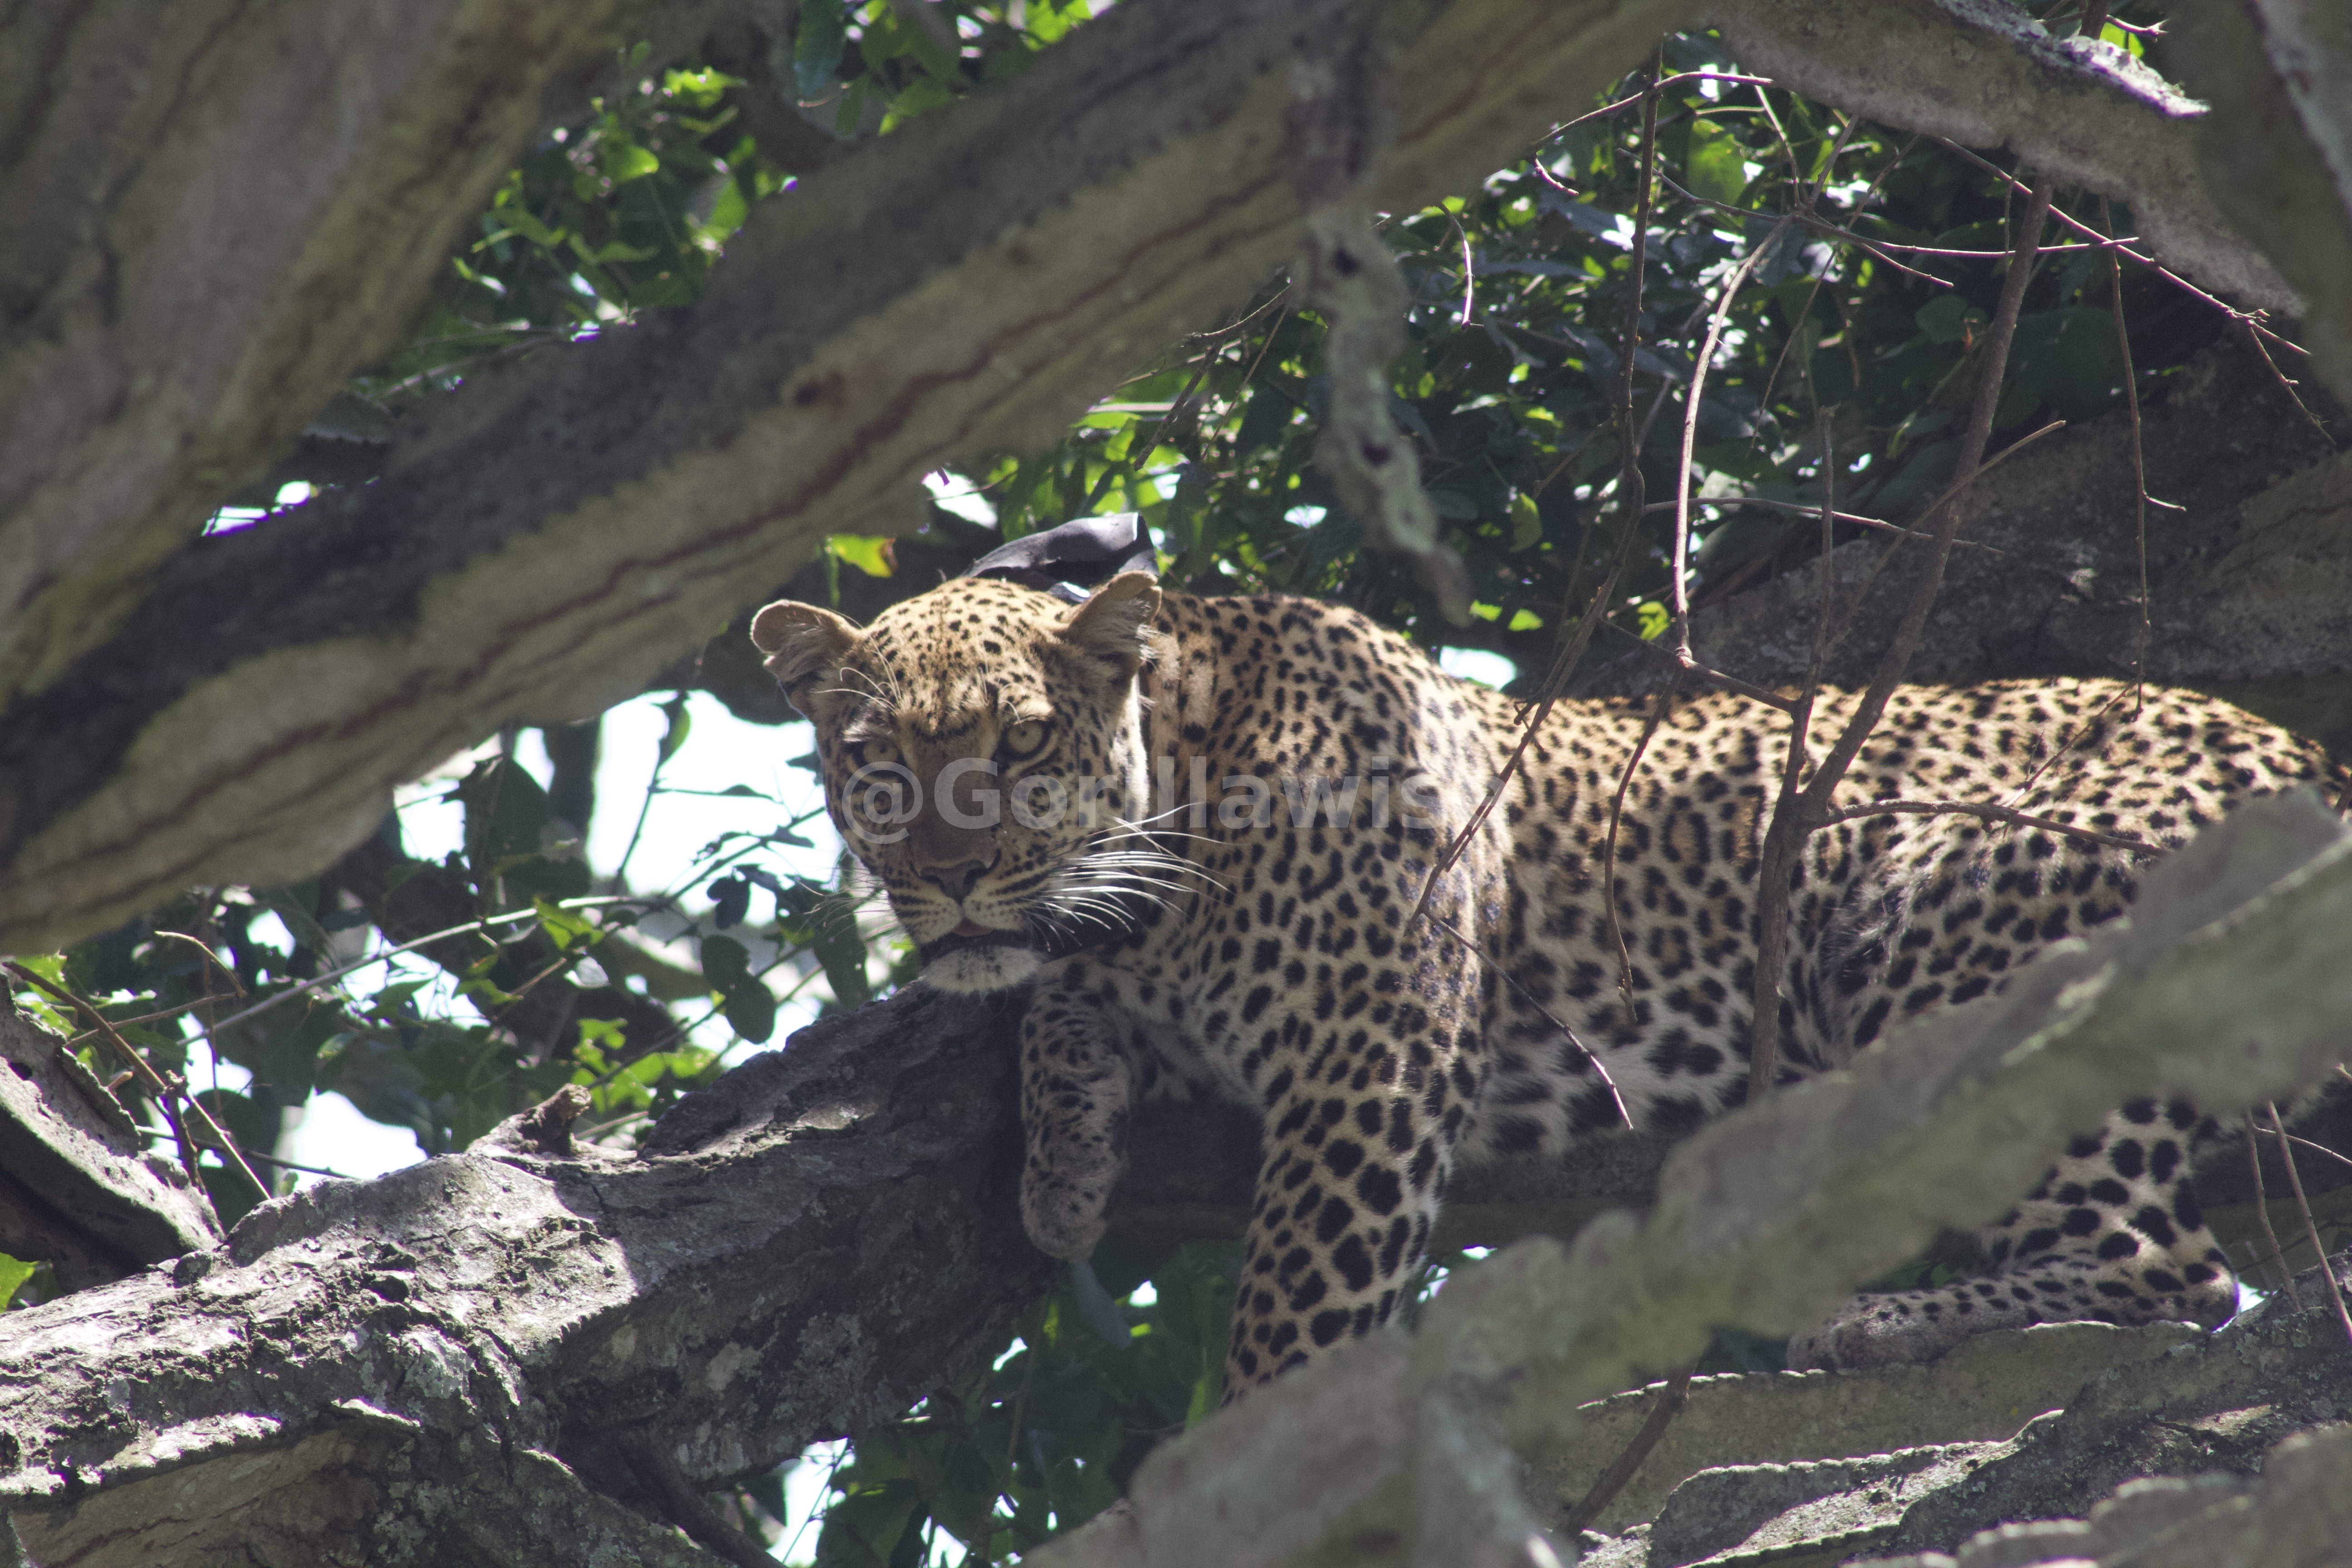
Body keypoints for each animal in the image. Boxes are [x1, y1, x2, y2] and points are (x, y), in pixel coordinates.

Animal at [750, 568, 2341, 1391]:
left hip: (1936, 901)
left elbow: (1295, 1311)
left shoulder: (1371, 1057)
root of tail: (2306, 754)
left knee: (2169, 1274)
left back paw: (1870, 1326)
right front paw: (1063, 1165)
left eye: (1020, 745)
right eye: (872, 763)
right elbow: (1053, 997)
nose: (949, 877)